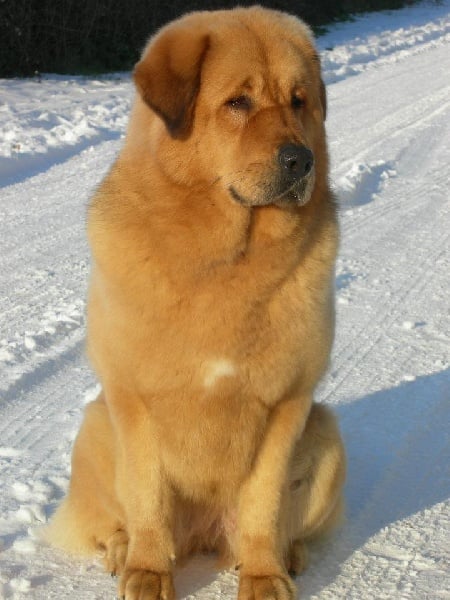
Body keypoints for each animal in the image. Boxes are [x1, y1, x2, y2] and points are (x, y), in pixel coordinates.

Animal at [45, 5, 346, 600]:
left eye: (299, 100)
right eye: (238, 102)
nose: (301, 161)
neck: (225, 261)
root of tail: (205, 537)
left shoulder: (288, 404)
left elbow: (263, 504)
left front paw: (263, 575)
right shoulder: (133, 400)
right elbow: (147, 500)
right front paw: (147, 572)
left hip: (327, 435)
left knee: (281, 523)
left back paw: (287, 554)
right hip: (95, 425)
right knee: (115, 520)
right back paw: (123, 550)